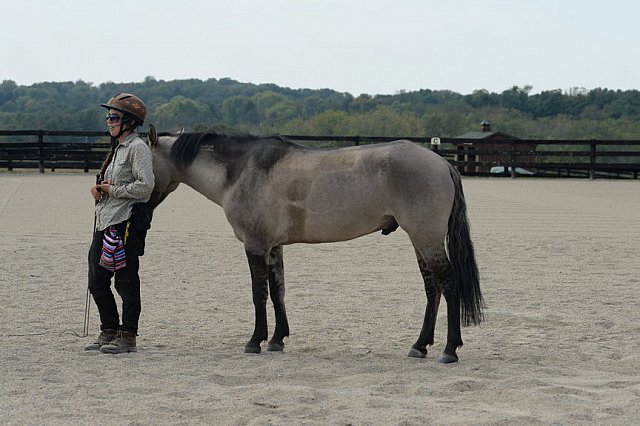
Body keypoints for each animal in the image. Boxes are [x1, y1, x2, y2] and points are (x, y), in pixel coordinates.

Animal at [146, 126, 484, 362]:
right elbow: (278, 292)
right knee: (432, 288)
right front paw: (277, 340)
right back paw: (420, 345)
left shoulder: (255, 245)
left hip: (426, 239)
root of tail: (442, 164)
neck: (241, 170)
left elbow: (258, 294)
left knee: (448, 284)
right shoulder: (274, 247)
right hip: (421, 240)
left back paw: (449, 349)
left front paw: (255, 341)